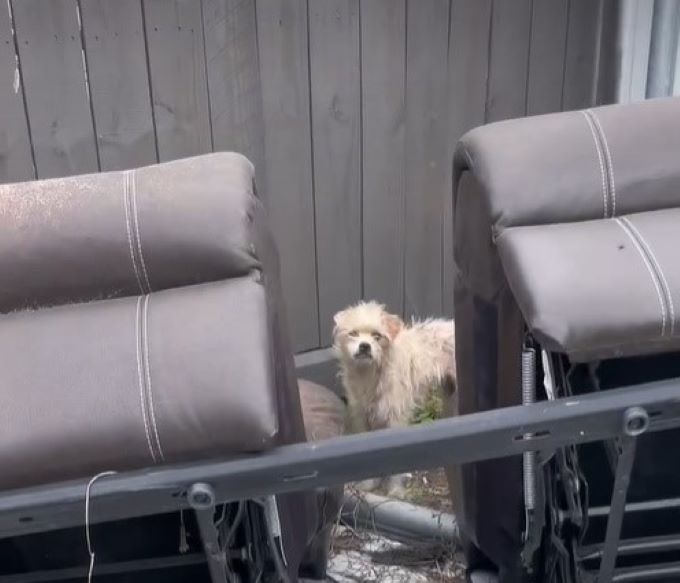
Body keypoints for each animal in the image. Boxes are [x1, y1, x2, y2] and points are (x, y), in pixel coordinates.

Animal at [332, 302, 454, 498]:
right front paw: (369, 483)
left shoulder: (396, 419)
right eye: (353, 333)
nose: (365, 346)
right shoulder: (363, 419)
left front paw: (395, 489)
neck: (371, 374)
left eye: (377, 336)